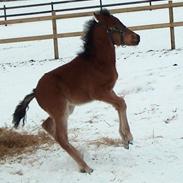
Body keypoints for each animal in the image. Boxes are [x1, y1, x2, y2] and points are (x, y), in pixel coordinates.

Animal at [12, 9, 140, 174]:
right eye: (116, 26)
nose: (137, 38)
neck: (97, 62)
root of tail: (35, 90)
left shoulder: (109, 91)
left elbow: (120, 104)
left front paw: (125, 141)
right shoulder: (99, 93)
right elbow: (121, 103)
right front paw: (128, 138)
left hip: (66, 109)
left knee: (47, 126)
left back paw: (80, 159)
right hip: (60, 111)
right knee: (60, 136)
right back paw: (86, 167)